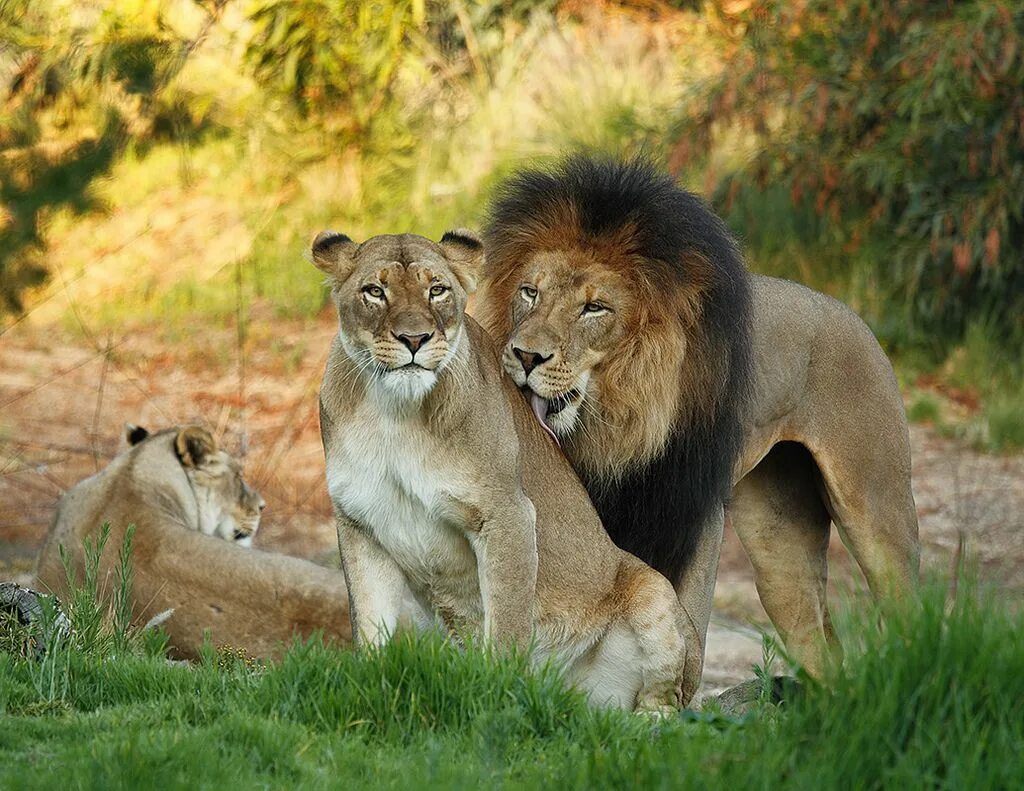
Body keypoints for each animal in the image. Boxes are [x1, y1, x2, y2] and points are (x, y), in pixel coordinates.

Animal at [311, 227, 688, 709]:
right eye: (375, 292)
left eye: (437, 290)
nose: (414, 340)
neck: (395, 413)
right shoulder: (360, 522)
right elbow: (369, 621)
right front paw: (369, 683)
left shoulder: (506, 513)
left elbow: (508, 620)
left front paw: (497, 695)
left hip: (655, 591)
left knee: (669, 700)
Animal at [475, 154, 925, 684]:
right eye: (529, 293)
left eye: (594, 308)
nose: (525, 356)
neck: (611, 425)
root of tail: (851, 315)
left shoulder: (687, 516)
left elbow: (680, 623)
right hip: (779, 540)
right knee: (821, 644)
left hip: (877, 509)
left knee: (909, 610)